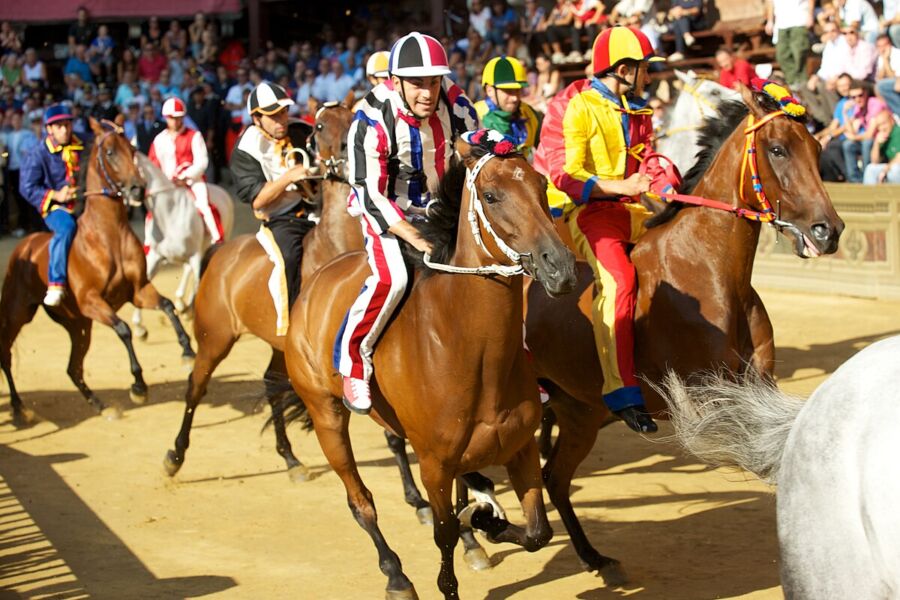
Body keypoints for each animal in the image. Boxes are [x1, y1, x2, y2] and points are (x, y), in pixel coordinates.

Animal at [0, 117, 196, 426]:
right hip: (18, 313)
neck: (108, 236)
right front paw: (138, 386)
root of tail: (24, 246)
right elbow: (123, 329)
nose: (137, 189)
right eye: (110, 152)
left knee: (73, 368)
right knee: (5, 354)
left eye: (132, 149)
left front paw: (187, 351)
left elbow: (167, 306)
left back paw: (102, 406)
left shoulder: (138, 290)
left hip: (78, 325)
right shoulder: (92, 302)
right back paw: (20, 408)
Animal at [132, 151, 236, 338]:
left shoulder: (195, 255)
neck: (168, 215)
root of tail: (222, 191)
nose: (132, 195)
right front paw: (139, 327)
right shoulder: (155, 257)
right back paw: (181, 303)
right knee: (187, 271)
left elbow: (197, 282)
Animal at [282, 138, 576, 600]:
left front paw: (486, 521)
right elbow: (445, 534)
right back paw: (397, 576)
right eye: (491, 196)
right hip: (325, 413)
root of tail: (315, 282)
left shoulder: (520, 446)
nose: (559, 267)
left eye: (542, 185)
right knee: (361, 502)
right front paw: (468, 537)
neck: (471, 355)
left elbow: (537, 532)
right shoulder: (434, 464)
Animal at [524, 85, 848, 580]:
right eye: (777, 149)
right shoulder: (709, 398)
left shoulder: (760, 387)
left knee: (555, 477)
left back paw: (594, 557)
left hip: (579, 410)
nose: (828, 230)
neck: (707, 268)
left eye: (815, 148)